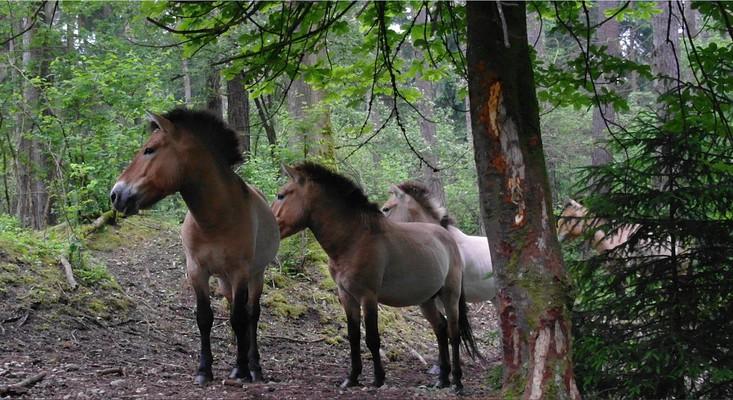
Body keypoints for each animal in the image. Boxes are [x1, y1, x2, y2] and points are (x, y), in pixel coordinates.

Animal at [109, 108, 280, 384]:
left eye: (149, 149)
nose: (116, 195)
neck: (216, 220)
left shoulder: (240, 272)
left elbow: (239, 318)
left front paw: (242, 370)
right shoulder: (197, 271)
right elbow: (205, 318)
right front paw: (204, 370)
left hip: (256, 275)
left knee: (251, 315)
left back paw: (254, 367)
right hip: (224, 281)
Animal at [272, 161, 478, 392]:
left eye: (281, 195)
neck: (355, 239)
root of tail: (448, 237)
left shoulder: (368, 296)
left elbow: (372, 338)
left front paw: (378, 379)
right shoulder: (346, 296)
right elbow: (353, 336)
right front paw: (352, 378)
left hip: (450, 296)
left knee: (453, 334)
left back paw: (457, 382)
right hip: (426, 300)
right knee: (441, 330)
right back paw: (442, 379)